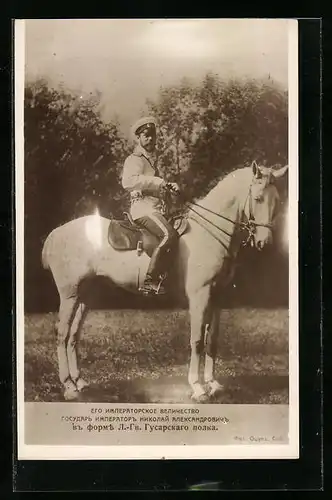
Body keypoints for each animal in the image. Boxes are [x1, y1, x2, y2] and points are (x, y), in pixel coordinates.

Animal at [40, 162, 286, 400]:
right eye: (258, 198)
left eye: (277, 201)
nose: (264, 242)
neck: (208, 235)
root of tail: (56, 234)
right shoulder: (199, 296)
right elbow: (197, 340)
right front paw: (198, 387)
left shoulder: (217, 297)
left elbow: (212, 340)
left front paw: (213, 384)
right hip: (69, 294)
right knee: (62, 333)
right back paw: (68, 386)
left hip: (86, 295)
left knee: (73, 335)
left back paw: (79, 381)